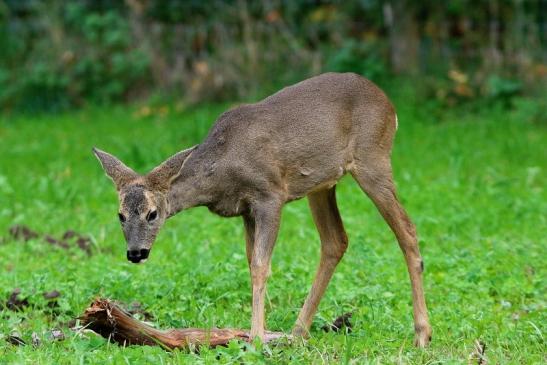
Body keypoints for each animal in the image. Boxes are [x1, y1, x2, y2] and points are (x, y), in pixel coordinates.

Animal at [95, 72, 436, 346]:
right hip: (322, 184)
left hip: (372, 158)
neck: (222, 170)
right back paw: (297, 332)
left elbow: (261, 265)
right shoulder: (245, 210)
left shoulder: (270, 194)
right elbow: (250, 262)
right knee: (335, 241)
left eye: (153, 213)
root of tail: (389, 105)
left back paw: (422, 334)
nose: (135, 252)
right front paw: (259, 331)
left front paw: (257, 338)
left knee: (407, 229)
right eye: (120, 215)